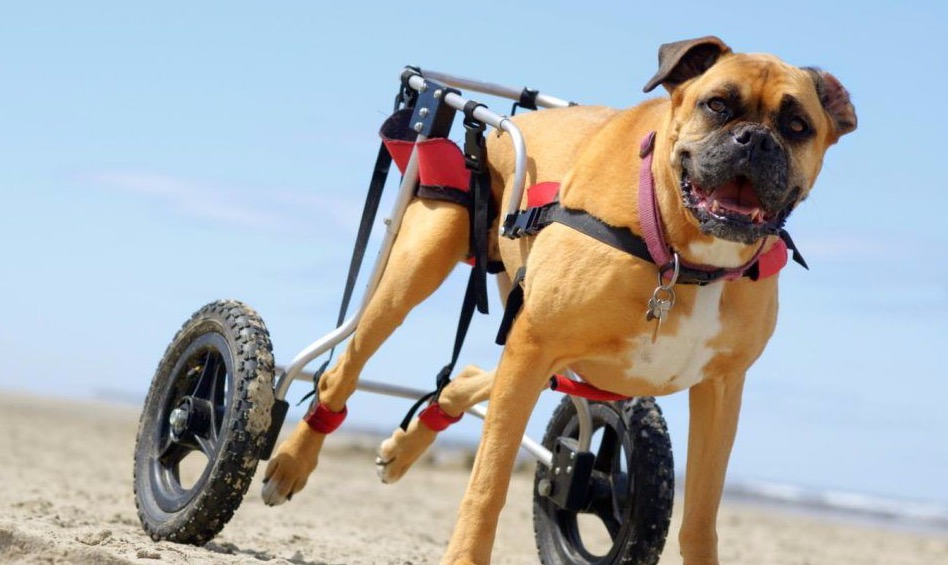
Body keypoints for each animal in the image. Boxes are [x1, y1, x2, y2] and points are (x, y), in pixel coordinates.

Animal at [262, 37, 856, 560]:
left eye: (797, 126)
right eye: (717, 105)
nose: (755, 140)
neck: (682, 254)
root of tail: (511, 124)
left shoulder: (720, 390)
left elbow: (701, 521)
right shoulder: (535, 342)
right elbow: (488, 485)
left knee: (469, 375)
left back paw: (408, 443)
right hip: (415, 274)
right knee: (343, 368)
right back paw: (291, 461)